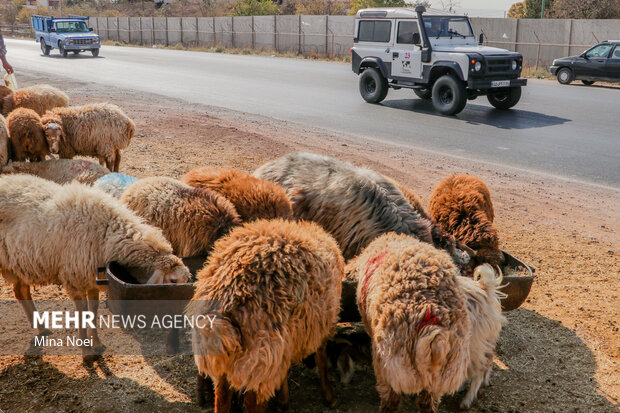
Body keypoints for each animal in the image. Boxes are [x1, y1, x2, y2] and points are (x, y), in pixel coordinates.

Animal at [0, 174, 191, 358]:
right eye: (173, 280)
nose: (182, 311)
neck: (106, 232)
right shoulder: (75, 278)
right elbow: (83, 312)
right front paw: (86, 351)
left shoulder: (91, 278)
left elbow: (93, 310)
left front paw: (97, 344)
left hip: (19, 264)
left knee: (21, 291)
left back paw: (41, 328)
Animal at [189, 219, 344, 408]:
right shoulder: (323, 324)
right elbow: (321, 359)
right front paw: (329, 396)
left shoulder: (286, 344)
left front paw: (284, 402)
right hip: (259, 358)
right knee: (252, 402)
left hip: (223, 358)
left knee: (222, 397)